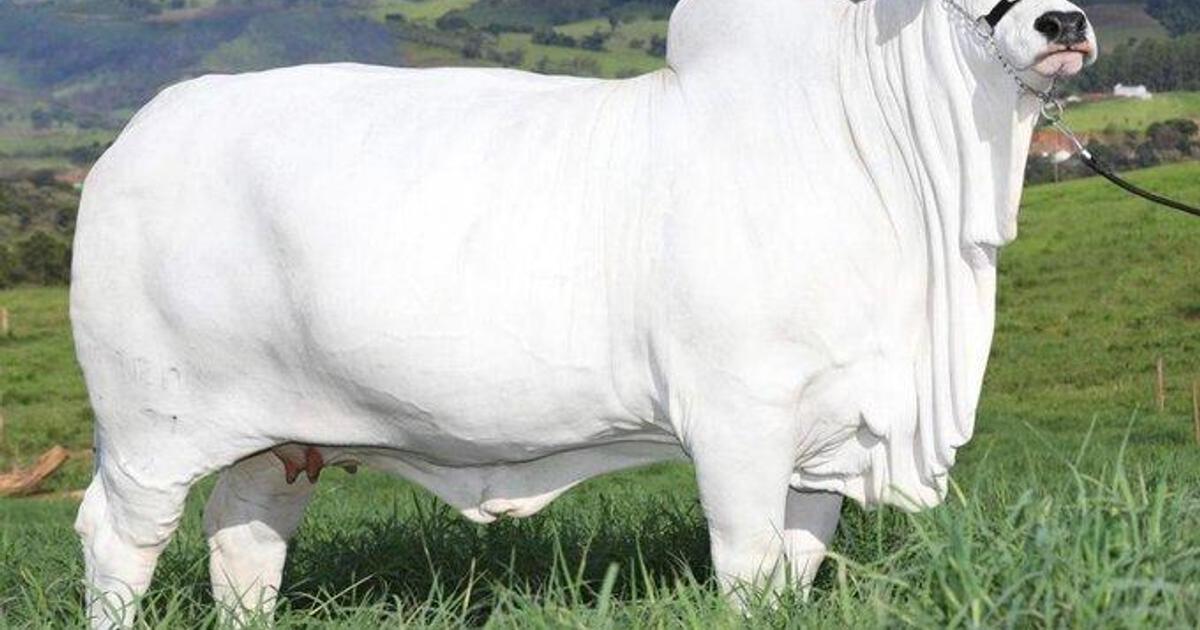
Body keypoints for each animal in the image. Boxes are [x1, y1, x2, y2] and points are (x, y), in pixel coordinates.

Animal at [71, 0, 1097, 625]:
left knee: (243, 539)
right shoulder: (739, 422)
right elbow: (748, 567)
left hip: (280, 439)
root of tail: (138, 134)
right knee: (119, 543)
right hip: (150, 430)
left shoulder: (828, 434)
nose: (1065, 22)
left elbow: (795, 569)